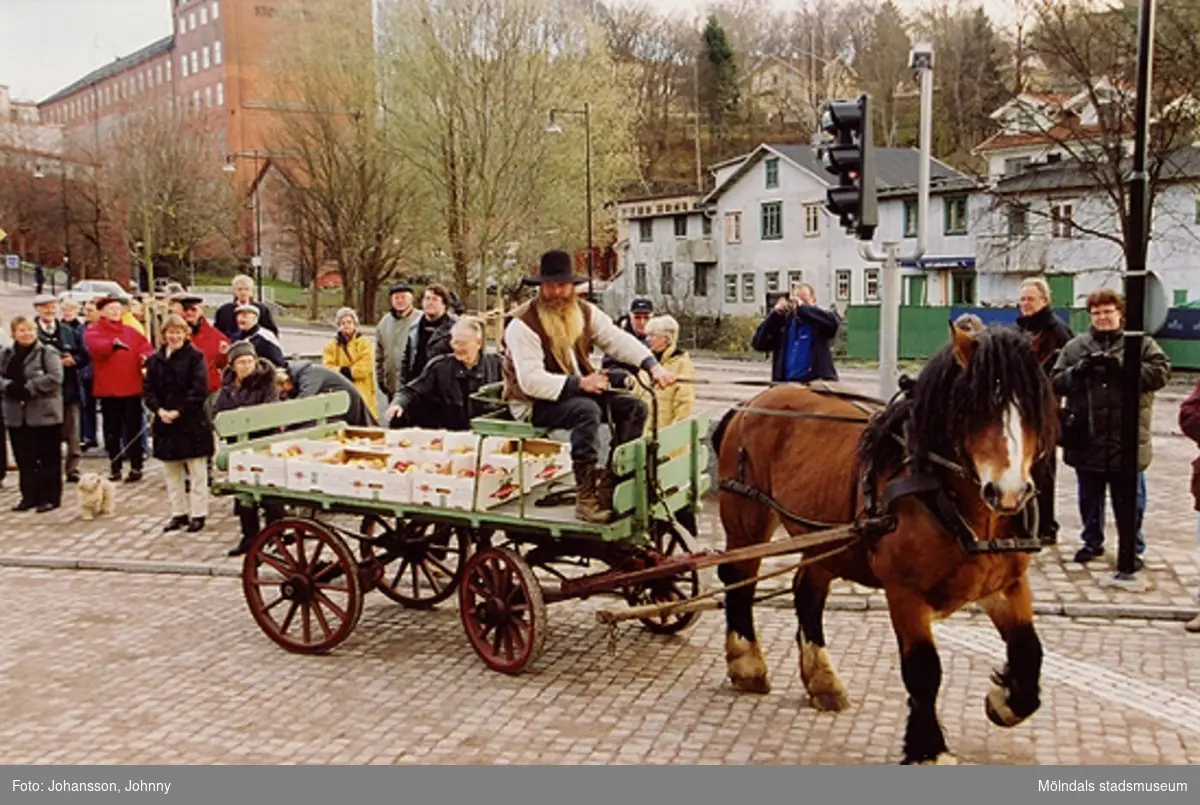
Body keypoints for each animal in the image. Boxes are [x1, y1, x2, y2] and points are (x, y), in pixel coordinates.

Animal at [710, 323, 1060, 763]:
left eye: (1032, 407)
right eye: (974, 407)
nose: (1008, 491)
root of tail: (750, 402)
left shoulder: (1005, 584)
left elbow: (1030, 652)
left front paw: (1004, 699)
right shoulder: (904, 591)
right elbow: (924, 669)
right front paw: (929, 749)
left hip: (822, 536)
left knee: (807, 594)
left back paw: (823, 680)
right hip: (747, 519)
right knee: (739, 580)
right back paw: (747, 664)